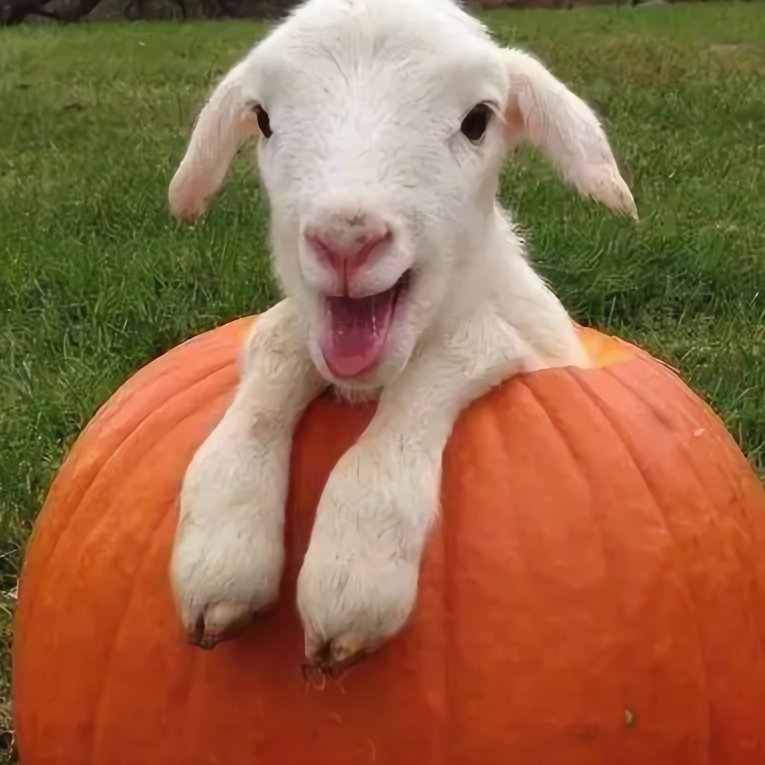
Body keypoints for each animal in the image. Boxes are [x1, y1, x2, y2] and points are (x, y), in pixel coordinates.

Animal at [168, 0, 637, 670]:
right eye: (261, 118)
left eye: (477, 121)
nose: (345, 239)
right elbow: (276, 345)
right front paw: (219, 555)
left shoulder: (516, 343)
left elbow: (459, 351)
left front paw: (353, 571)